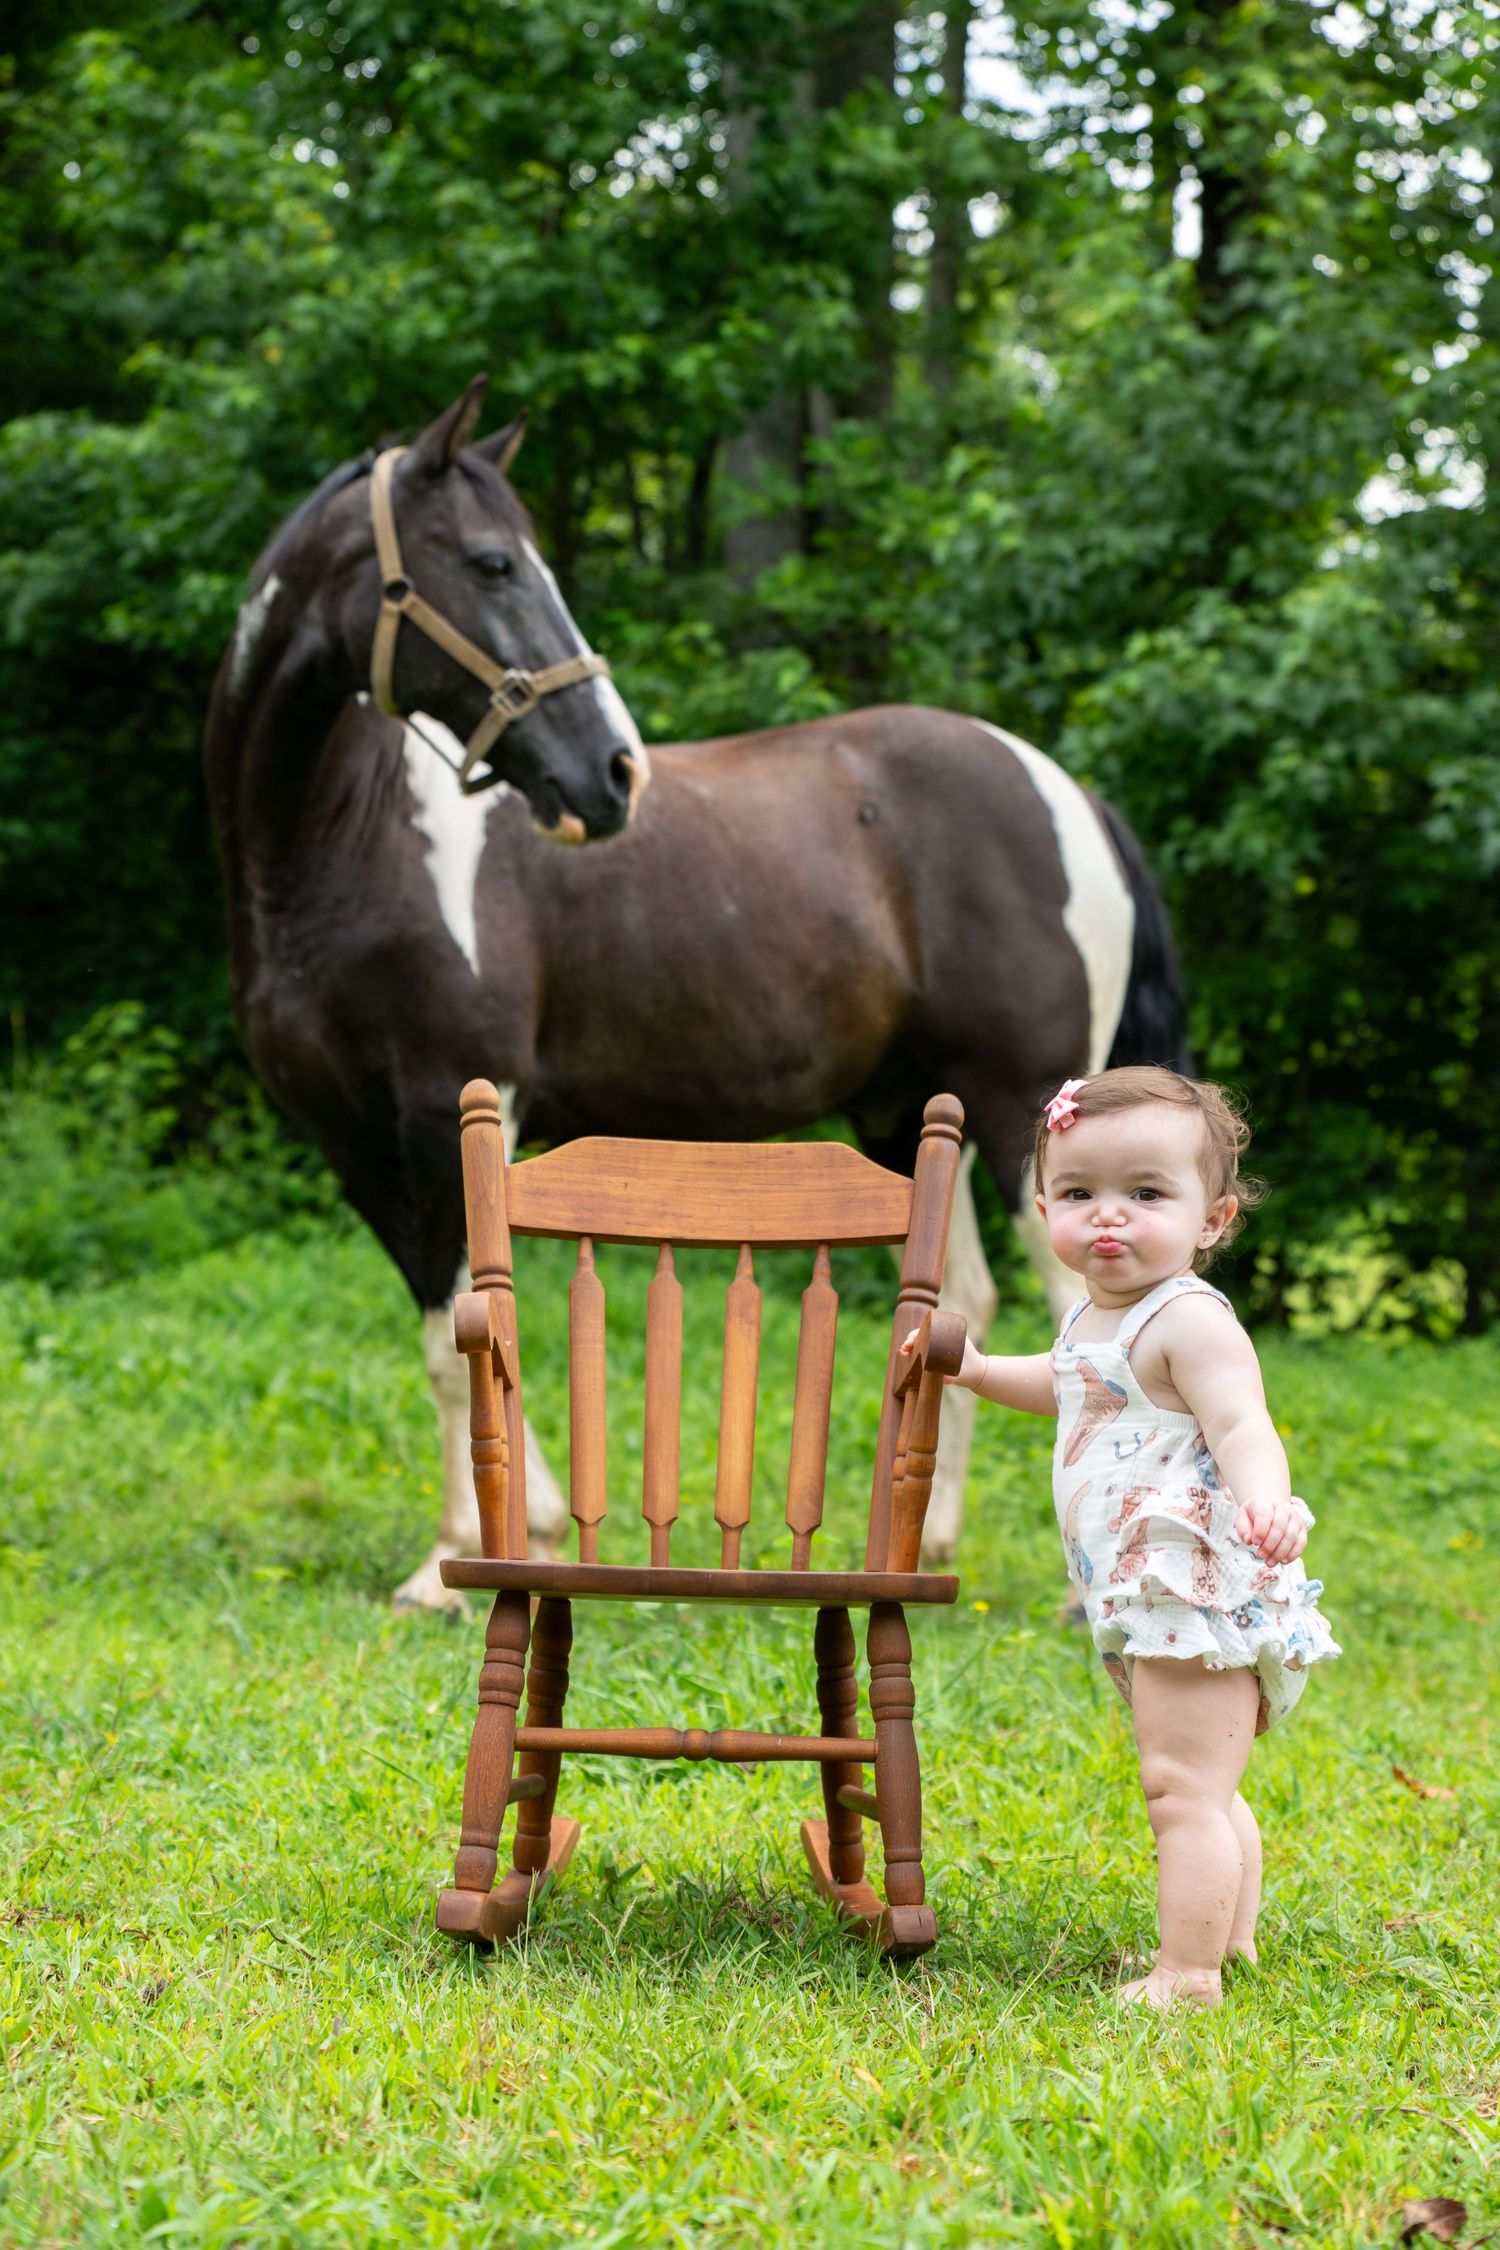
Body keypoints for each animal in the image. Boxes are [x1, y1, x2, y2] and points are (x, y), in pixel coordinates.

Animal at [204, 378, 1189, 1613]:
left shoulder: (447, 1111)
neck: (350, 841)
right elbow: (452, 1327)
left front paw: (453, 1567)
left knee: (1074, 1310)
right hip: (917, 1117)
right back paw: (935, 1543)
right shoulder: (354, 1142)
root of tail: (1068, 793)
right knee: (967, 1298)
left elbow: (459, 1324)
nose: (611, 773)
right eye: (491, 563)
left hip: (1024, 1113)